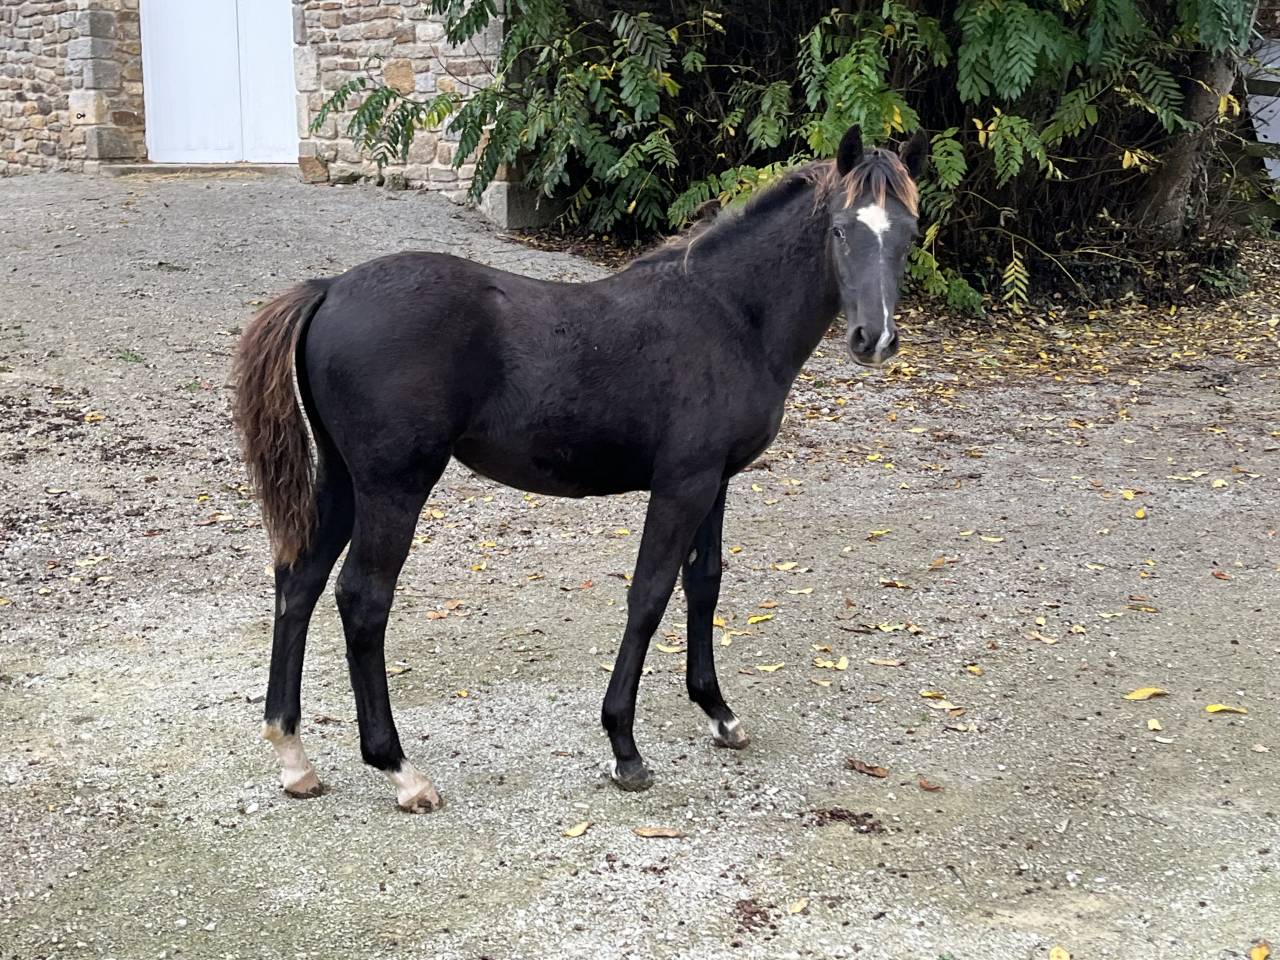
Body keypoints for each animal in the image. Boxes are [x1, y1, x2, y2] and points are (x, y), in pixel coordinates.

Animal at [233, 124, 926, 812]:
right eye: (840, 230)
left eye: (909, 234)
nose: (874, 339)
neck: (730, 315)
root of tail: (330, 288)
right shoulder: (682, 486)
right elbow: (649, 595)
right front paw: (625, 747)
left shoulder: (715, 481)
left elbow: (703, 583)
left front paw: (718, 713)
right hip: (394, 486)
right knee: (362, 599)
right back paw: (399, 769)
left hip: (343, 479)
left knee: (299, 581)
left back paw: (294, 757)